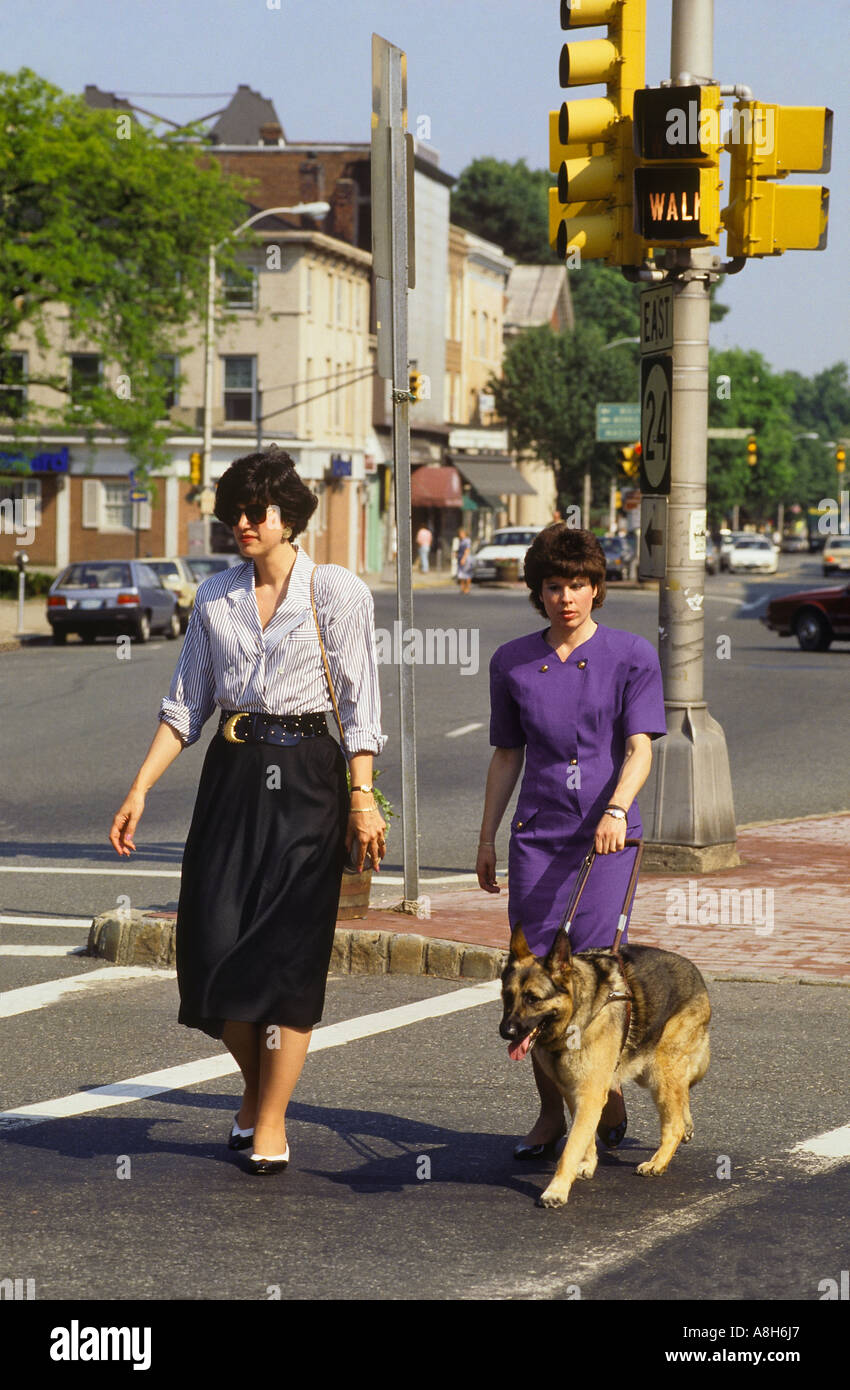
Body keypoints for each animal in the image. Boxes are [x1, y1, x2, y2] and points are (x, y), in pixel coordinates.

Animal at [497, 922, 711, 1206]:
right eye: (507, 996)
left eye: (533, 998)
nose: (505, 1032)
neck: (576, 1015)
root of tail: (696, 972)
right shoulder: (573, 1093)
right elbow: (585, 1137)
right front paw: (588, 1163)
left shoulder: (588, 1094)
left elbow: (571, 1146)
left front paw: (557, 1189)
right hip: (649, 1069)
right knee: (682, 1096)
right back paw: (684, 1127)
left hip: (659, 1072)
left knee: (672, 1124)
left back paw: (658, 1162)